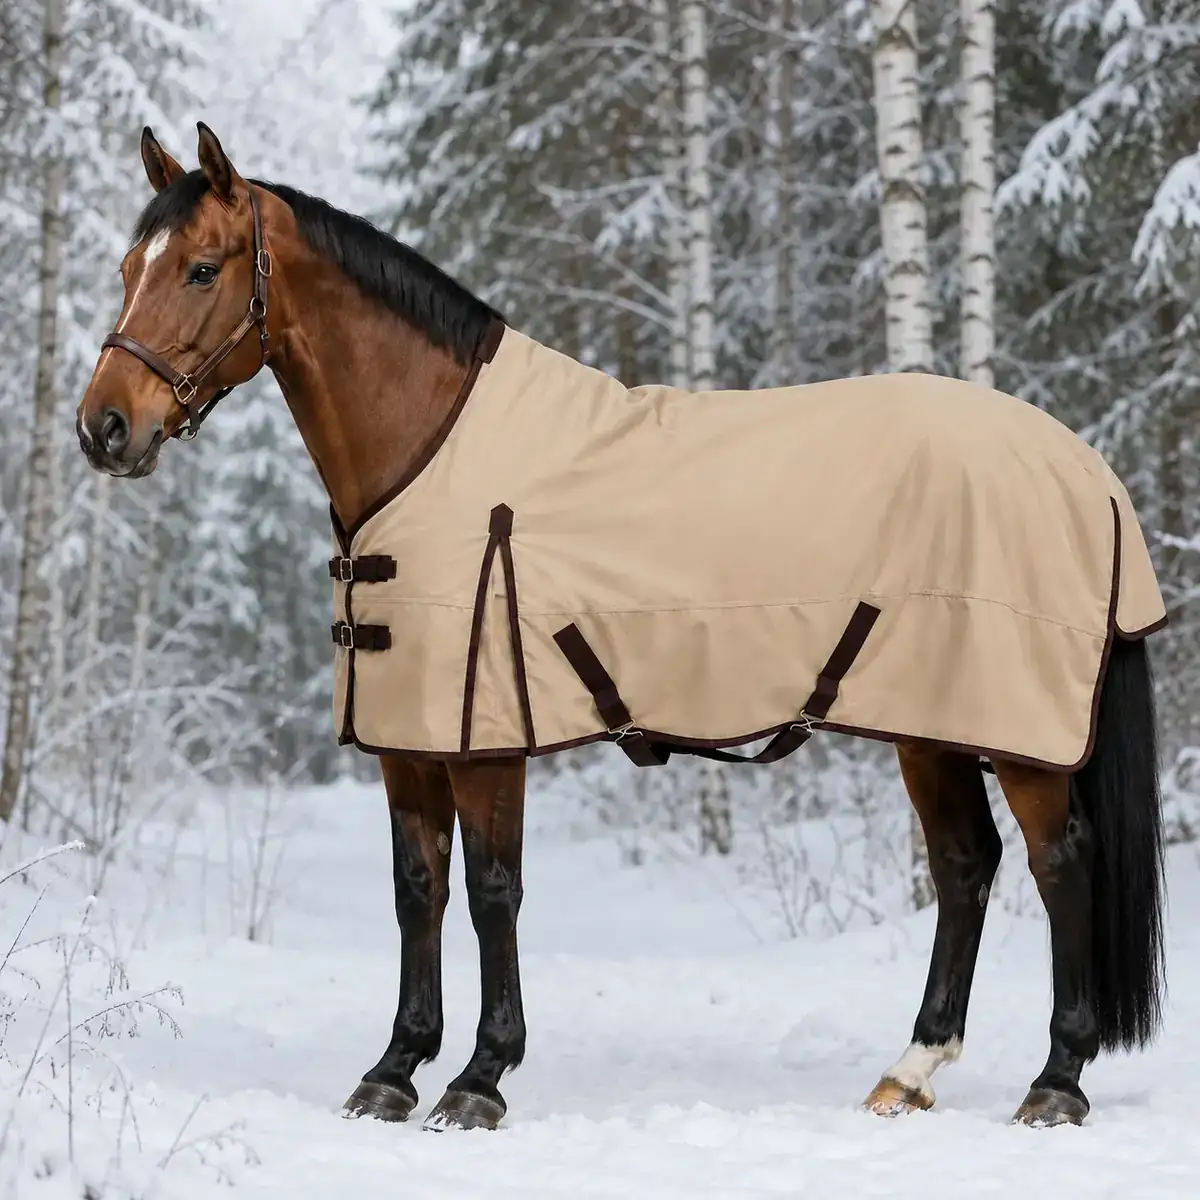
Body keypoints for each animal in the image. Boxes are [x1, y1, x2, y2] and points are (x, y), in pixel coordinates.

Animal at [76, 123, 1166, 1132]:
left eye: (201, 268)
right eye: (130, 269)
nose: (104, 428)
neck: (427, 448)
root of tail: (1087, 470)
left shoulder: (483, 739)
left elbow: (493, 892)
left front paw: (479, 1079)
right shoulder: (407, 742)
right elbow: (417, 889)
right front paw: (393, 1070)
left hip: (1014, 732)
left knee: (1059, 862)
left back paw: (1057, 1079)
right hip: (928, 721)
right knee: (965, 865)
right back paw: (911, 1070)